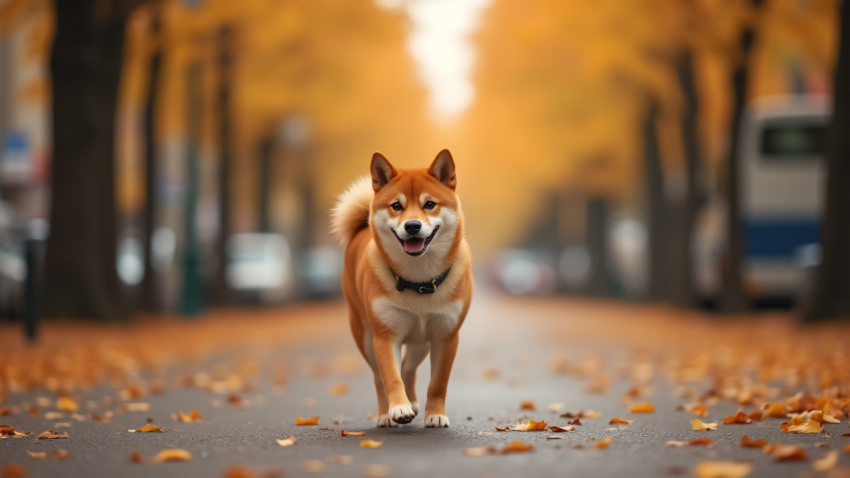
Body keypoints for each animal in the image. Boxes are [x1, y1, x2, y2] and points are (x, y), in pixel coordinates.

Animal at [330, 150, 474, 430]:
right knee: (379, 378)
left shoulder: (445, 336)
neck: (417, 281)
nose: (412, 226)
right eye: (397, 206)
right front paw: (398, 408)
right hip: (366, 337)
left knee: (408, 367)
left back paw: (415, 403)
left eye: (429, 204)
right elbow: (390, 377)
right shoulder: (385, 336)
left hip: (421, 341)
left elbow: (437, 383)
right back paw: (385, 414)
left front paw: (435, 414)